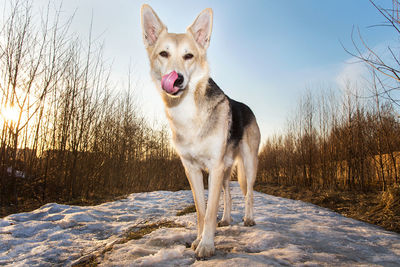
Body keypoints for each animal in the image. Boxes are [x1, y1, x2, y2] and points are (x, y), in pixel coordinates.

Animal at [140, 4, 260, 260]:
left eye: (189, 56)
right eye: (163, 54)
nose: (176, 79)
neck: (188, 112)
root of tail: (246, 106)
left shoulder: (214, 167)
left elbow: (211, 208)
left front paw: (206, 244)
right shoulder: (192, 170)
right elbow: (202, 211)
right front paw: (198, 239)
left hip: (248, 163)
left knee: (249, 194)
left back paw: (248, 218)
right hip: (225, 170)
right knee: (228, 194)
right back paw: (226, 219)